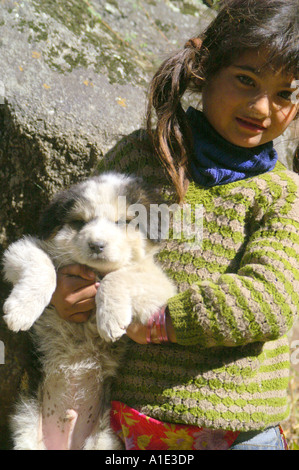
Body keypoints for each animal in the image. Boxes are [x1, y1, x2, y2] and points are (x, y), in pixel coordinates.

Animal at [2, 173, 176, 452]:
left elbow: (120, 274)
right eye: (79, 222)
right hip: (26, 432)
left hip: (103, 440)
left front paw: (111, 319)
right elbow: (41, 264)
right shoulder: (23, 249)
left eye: (122, 222)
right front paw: (21, 311)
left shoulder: (160, 288)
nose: (96, 245)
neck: (94, 271)